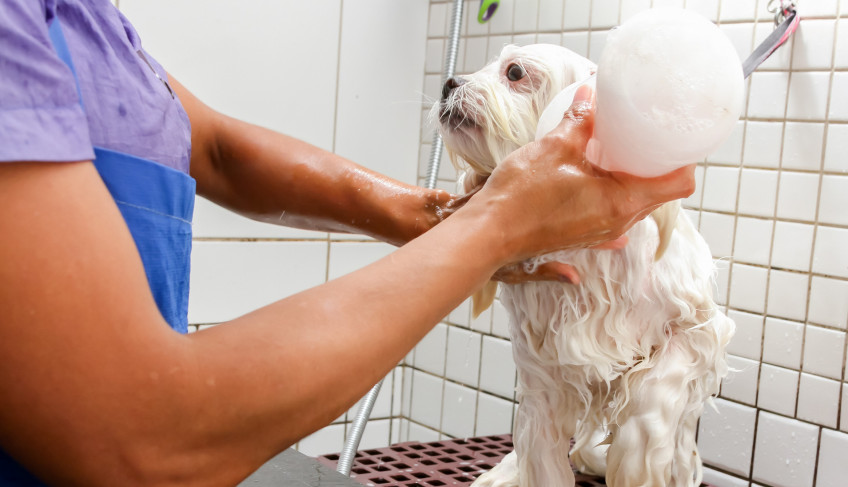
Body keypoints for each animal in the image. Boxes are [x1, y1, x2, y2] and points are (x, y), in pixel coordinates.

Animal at [434, 44, 732, 487]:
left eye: (515, 72)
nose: (449, 82)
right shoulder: (541, 368)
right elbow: (540, 452)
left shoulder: (697, 328)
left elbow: (650, 406)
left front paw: (635, 459)